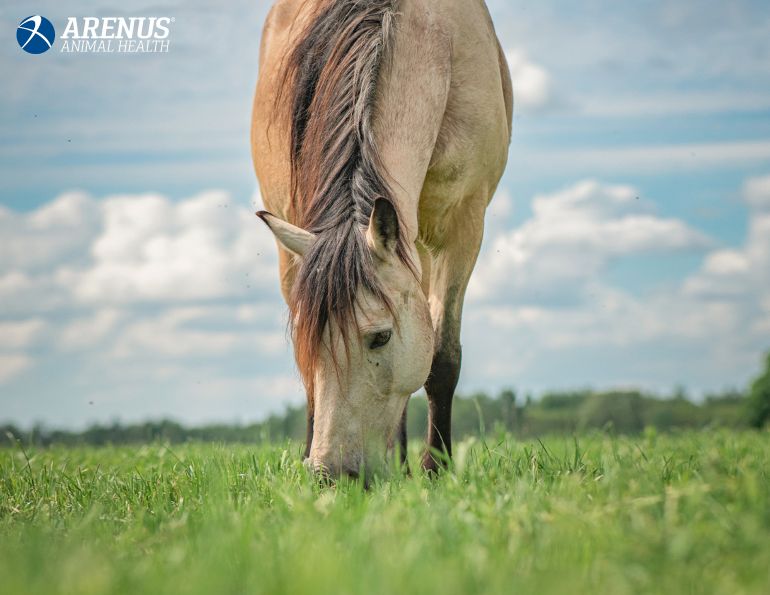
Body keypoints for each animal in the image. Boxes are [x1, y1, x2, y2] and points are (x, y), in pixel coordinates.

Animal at [251, 0, 512, 479]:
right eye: (307, 340)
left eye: (381, 337)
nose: (331, 473)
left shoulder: (464, 226)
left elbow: (442, 358)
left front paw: (436, 469)